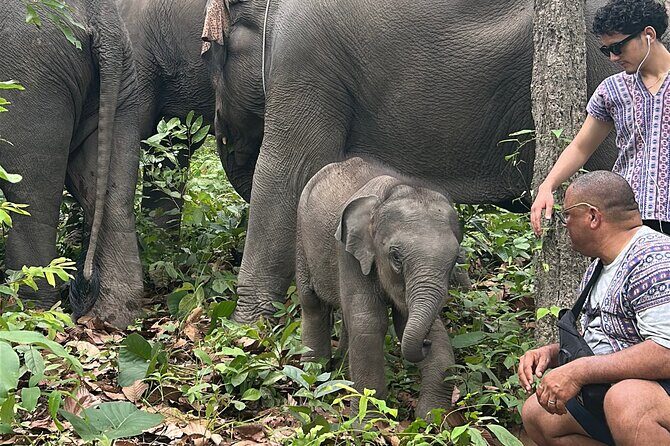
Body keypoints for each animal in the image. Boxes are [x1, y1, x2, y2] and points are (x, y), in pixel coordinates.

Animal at [0, 0, 143, 327]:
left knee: (32, 202)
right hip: (123, 83)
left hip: (32, 78)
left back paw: (31, 315)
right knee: (112, 200)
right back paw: (112, 319)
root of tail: (100, 15)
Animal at [297, 157, 462, 417]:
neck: (396, 190)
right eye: (395, 257)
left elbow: (423, 325)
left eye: (455, 260)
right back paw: (314, 374)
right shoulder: (349, 253)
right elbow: (369, 321)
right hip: (302, 236)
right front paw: (370, 420)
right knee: (312, 302)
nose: (425, 345)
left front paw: (431, 418)